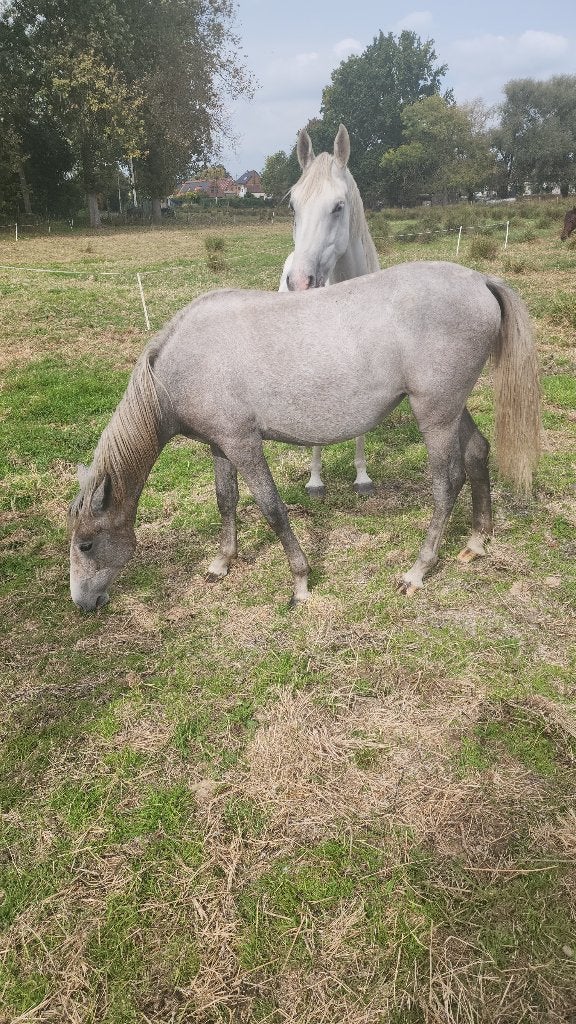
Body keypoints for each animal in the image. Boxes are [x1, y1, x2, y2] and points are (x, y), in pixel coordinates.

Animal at [68, 261, 540, 613]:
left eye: (87, 544)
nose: (83, 603)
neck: (182, 367)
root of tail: (479, 279)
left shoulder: (245, 445)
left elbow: (272, 509)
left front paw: (300, 583)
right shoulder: (221, 445)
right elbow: (226, 500)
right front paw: (222, 562)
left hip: (435, 417)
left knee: (446, 485)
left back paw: (417, 572)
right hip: (451, 409)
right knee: (478, 453)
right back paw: (476, 543)